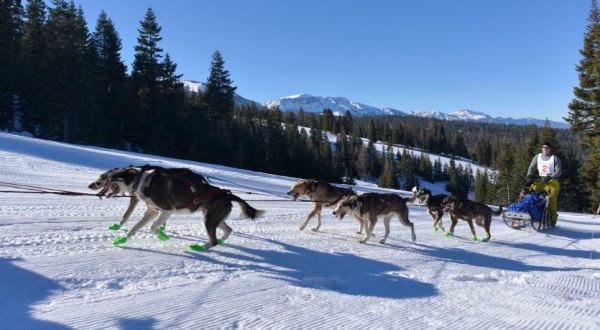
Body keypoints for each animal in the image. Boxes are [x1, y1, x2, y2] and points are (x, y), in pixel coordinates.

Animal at [90, 165, 264, 250]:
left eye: (110, 177)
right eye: (106, 177)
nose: (96, 183)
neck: (141, 182)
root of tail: (227, 194)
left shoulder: (167, 210)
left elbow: (153, 227)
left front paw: (162, 236)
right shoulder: (152, 211)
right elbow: (135, 228)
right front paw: (122, 239)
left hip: (209, 220)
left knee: (213, 240)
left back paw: (201, 247)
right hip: (213, 218)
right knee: (228, 230)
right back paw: (219, 241)